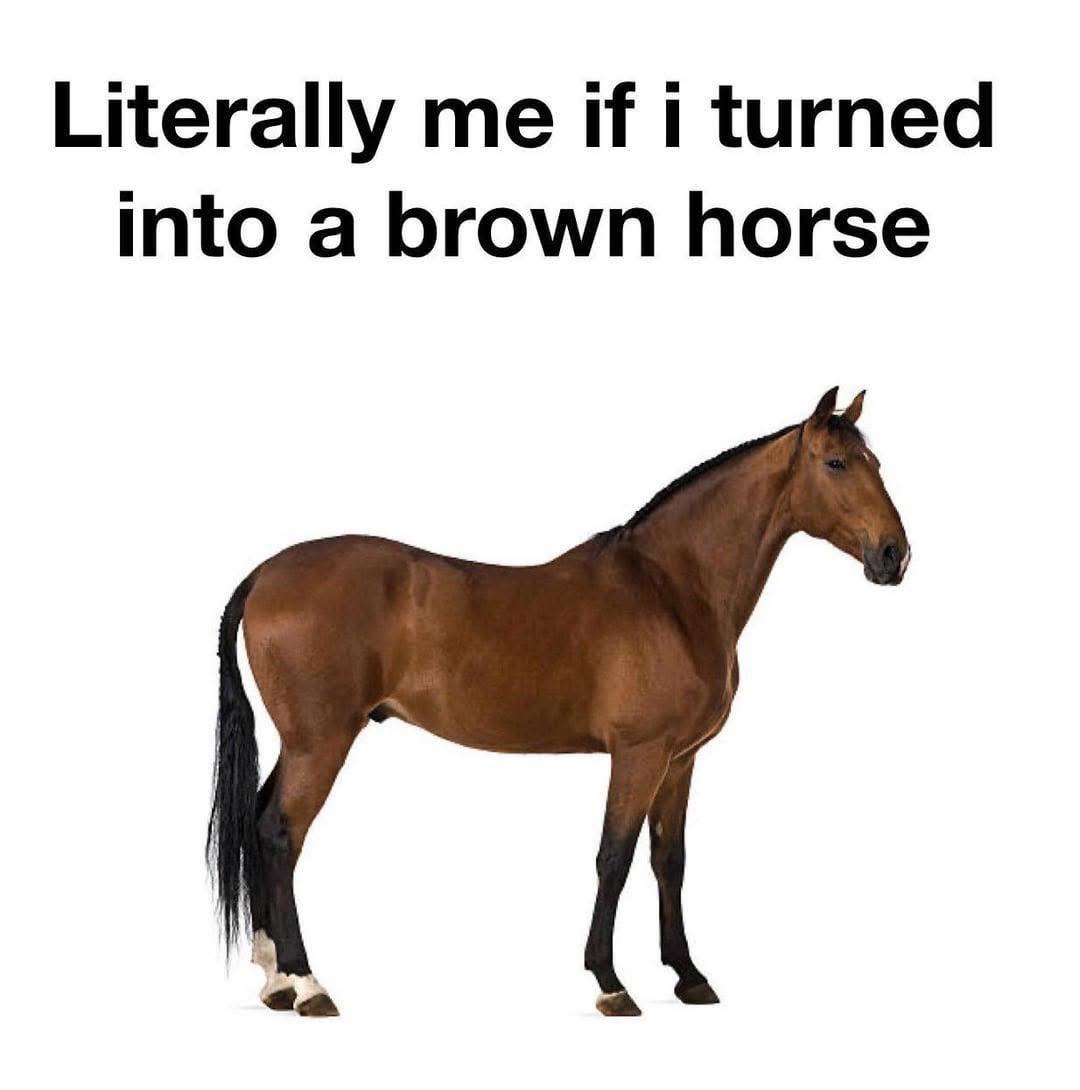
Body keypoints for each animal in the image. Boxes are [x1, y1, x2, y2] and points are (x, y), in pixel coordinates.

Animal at [207, 387, 910, 1017]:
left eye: (875, 462)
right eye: (836, 463)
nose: (894, 555)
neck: (672, 590)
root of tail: (265, 574)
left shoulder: (681, 760)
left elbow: (669, 861)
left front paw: (688, 977)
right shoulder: (639, 754)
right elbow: (613, 858)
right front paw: (611, 983)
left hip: (303, 742)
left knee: (262, 822)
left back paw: (275, 980)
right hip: (322, 741)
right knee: (281, 833)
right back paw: (307, 984)